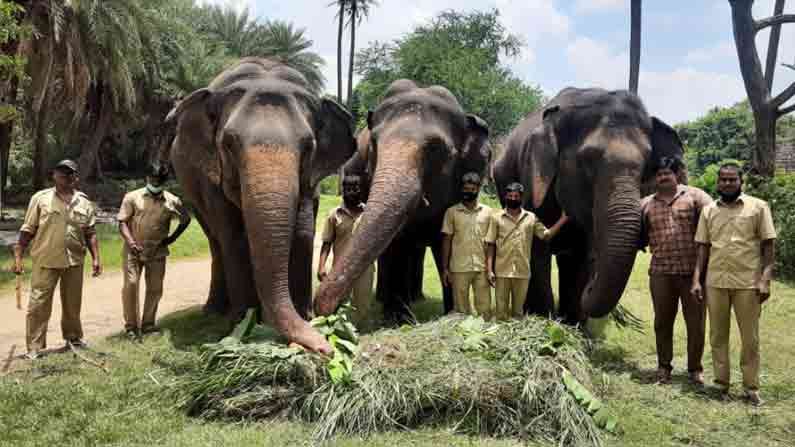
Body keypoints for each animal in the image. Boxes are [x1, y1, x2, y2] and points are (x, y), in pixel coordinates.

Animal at [166, 58, 356, 354]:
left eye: (308, 146)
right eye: (228, 144)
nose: (325, 349)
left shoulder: (309, 180)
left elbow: (303, 233)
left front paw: (305, 317)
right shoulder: (212, 176)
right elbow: (233, 236)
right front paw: (244, 324)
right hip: (191, 188)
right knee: (216, 241)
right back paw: (215, 311)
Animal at [312, 79, 492, 320]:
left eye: (436, 149)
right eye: (374, 144)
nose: (321, 310)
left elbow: (445, 242)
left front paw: (454, 315)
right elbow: (397, 241)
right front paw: (398, 319)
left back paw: (416, 298)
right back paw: (388, 301)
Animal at [492, 87, 684, 324]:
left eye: (646, 167)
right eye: (587, 161)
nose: (592, 284)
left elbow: (580, 258)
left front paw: (572, 324)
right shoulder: (532, 177)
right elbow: (537, 247)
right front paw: (544, 320)